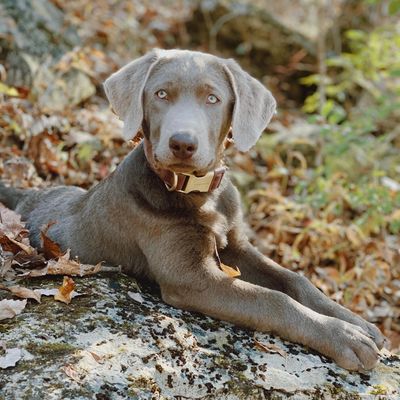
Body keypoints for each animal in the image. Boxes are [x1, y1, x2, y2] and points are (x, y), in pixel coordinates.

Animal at [0, 49, 384, 372]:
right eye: (161, 94)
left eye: (213, 98)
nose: (182, 143)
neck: (199, 194)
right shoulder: (190, 277)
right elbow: (273, 300)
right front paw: (343, 336)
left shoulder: (236, 245)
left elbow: (295, 280)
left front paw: (356, 323)